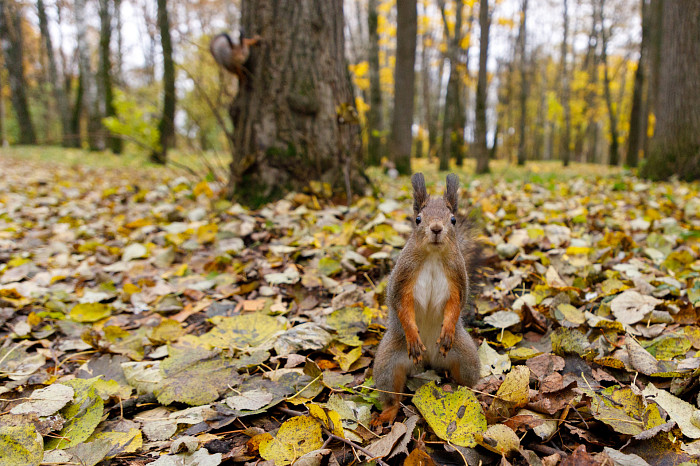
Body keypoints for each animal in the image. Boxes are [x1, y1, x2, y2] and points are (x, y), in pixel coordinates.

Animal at [372, 173, 482, 425]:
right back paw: (388, 412)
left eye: (453, 219)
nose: (436, 228)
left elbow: (455, 305)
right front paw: (413, 335)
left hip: (466, 357)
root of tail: (430, 361)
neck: (433, 255)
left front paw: (448, 328)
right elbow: (401, 305)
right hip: (387, 363)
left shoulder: (457, 278)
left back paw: (468, 395)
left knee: (466, 380)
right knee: (391, 391)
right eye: (418, 219)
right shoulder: (403, 278)